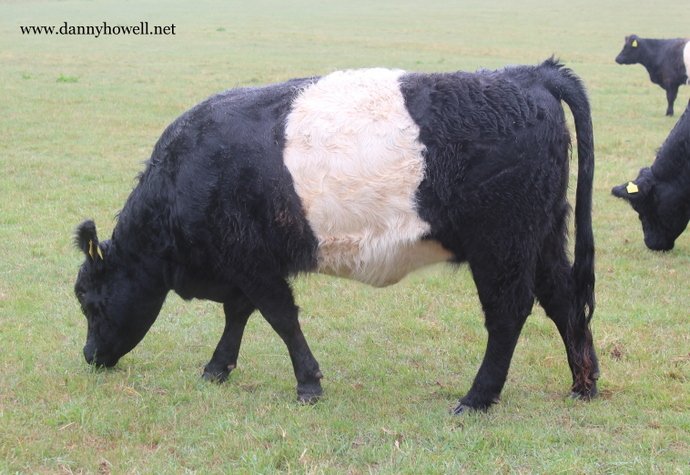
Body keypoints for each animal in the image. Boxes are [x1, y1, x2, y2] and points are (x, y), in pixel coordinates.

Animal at [74, 58, 599, 414]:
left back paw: (477, 398)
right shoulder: (246, 262)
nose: (90, 356)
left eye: (89, 302)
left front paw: (308, 384)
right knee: (564, 299)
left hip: (502, 244)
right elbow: (239, 314)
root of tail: (530, 74)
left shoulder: (251, 260)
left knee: (508, 314)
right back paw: (584, 384)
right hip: (543, 236)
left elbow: (280, 317)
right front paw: (217, 369)